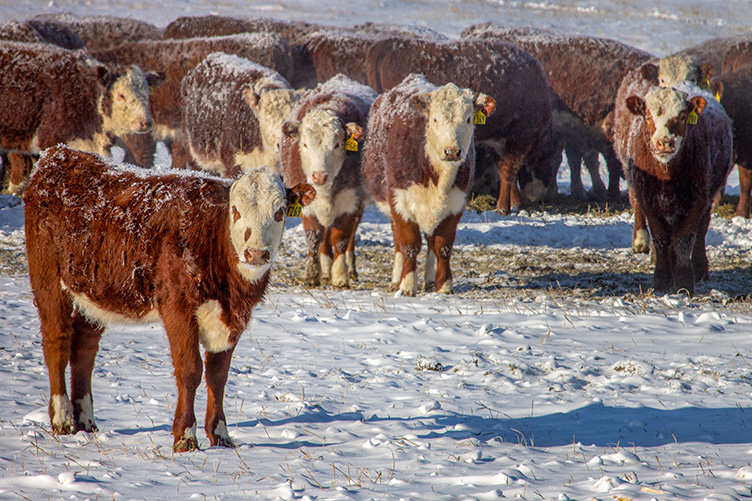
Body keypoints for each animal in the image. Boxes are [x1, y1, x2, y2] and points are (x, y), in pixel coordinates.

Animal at [24, 144, 315, 452]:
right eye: (235, 210)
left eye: (280, 212)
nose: (256, 253)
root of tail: (58, 154)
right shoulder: (178, 307)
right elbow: (190, 370)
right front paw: (185, 436)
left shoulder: (231, 318)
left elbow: (218, 376)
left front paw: (220, 435)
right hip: (47, 276)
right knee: (57, 338)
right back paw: (62, 419)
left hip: (96, 289)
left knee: (84, 346)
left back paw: (86, 421)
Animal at [280, 74, 377, 288]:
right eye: (304, 144)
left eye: (337, 144)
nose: (319, 176)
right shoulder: (306, 204)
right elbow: (314, 237)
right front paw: (312, 274)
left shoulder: (350, 201)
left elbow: (341, 238)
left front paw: (340, 275)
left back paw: (350, 269)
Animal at [362, 73, 496, 296]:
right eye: (434, 119)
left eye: (468, 119)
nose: (452, 151)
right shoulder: (400, 201)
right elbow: (409, 244)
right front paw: (407, 284)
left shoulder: (456, 203)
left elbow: (443, 246)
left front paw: (444, 285)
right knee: (398, 241)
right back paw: (397, 278)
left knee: (432, 241)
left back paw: (430, 279)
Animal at [365, 37, 553, 214]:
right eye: (550, 156)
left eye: (469, 119)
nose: (544, 193)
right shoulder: (522, 136)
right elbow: (509, 171)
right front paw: (504, 208)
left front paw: (513, 203)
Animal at [613, 79, 733, 295]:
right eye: (647, 116)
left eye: (683, 116)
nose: (664, 142)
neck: (665, 176)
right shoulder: (649, 201)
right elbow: (661, 238)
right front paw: (661, 280)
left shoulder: (696, 201)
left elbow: (684, 240)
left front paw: (684, 283)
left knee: (701, 230)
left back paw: (700, 268)